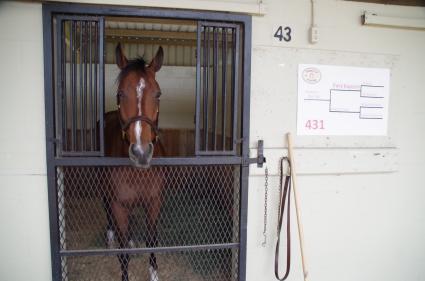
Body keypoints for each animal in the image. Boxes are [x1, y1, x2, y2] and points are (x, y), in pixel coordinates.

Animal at [102, 42, 164, 280]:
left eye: (158, 94)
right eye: (120, 94)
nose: (140, 152)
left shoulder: (154, 202)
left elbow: (152, 238)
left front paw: (154, 273)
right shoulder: (119, 205)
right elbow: (123, 253)